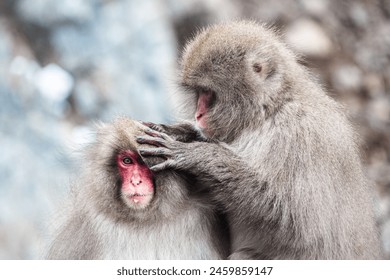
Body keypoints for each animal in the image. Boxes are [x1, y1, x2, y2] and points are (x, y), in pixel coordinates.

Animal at [137, 20, 380, 260]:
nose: (198, 115)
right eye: (198, 93)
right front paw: (179, 132)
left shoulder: (298, 137)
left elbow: (293, 220)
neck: (269, 111)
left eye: (208, 93)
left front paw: (197, 155)